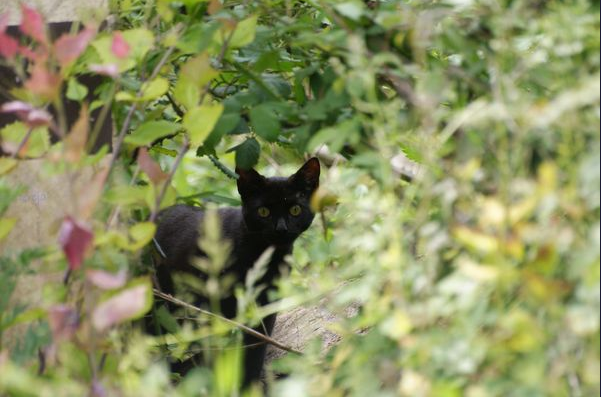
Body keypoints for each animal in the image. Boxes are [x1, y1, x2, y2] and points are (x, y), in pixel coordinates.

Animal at [150, 157, 318, 386]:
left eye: (295, 210)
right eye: (263, 212)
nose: (281, 229)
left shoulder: (266, 303)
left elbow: (256, 345)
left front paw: (249, 384)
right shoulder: (205, 304)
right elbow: (212, 345)